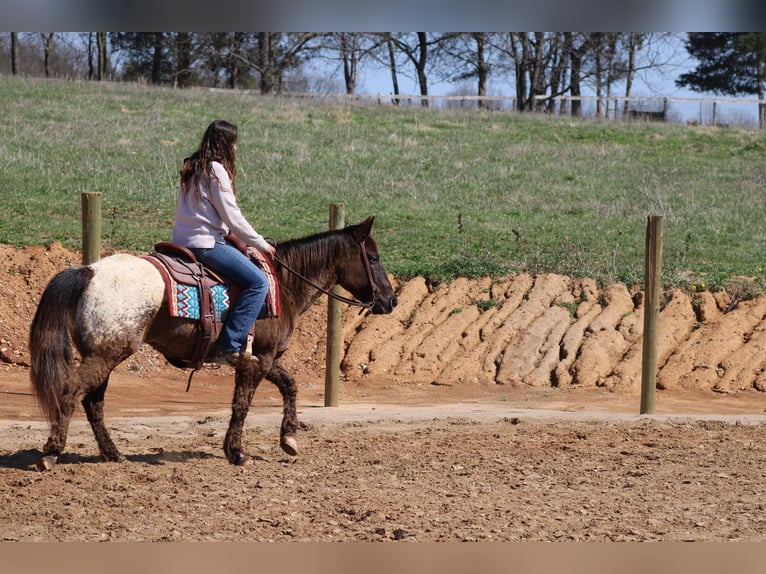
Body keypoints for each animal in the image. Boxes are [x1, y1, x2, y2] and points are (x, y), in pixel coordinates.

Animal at [27, 218, 400, 470]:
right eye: (374, 258)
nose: (392, 300)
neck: (282, 283)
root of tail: (88, 271)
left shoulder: (263, 358)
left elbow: (289, 386)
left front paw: (289, 438)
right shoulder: (258, 359)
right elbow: (242, 405)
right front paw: (237, 452)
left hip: (103, 355)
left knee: (93, 403)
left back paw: (113, 453)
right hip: (105, 355)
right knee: (71, 393)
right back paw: (51, 453)